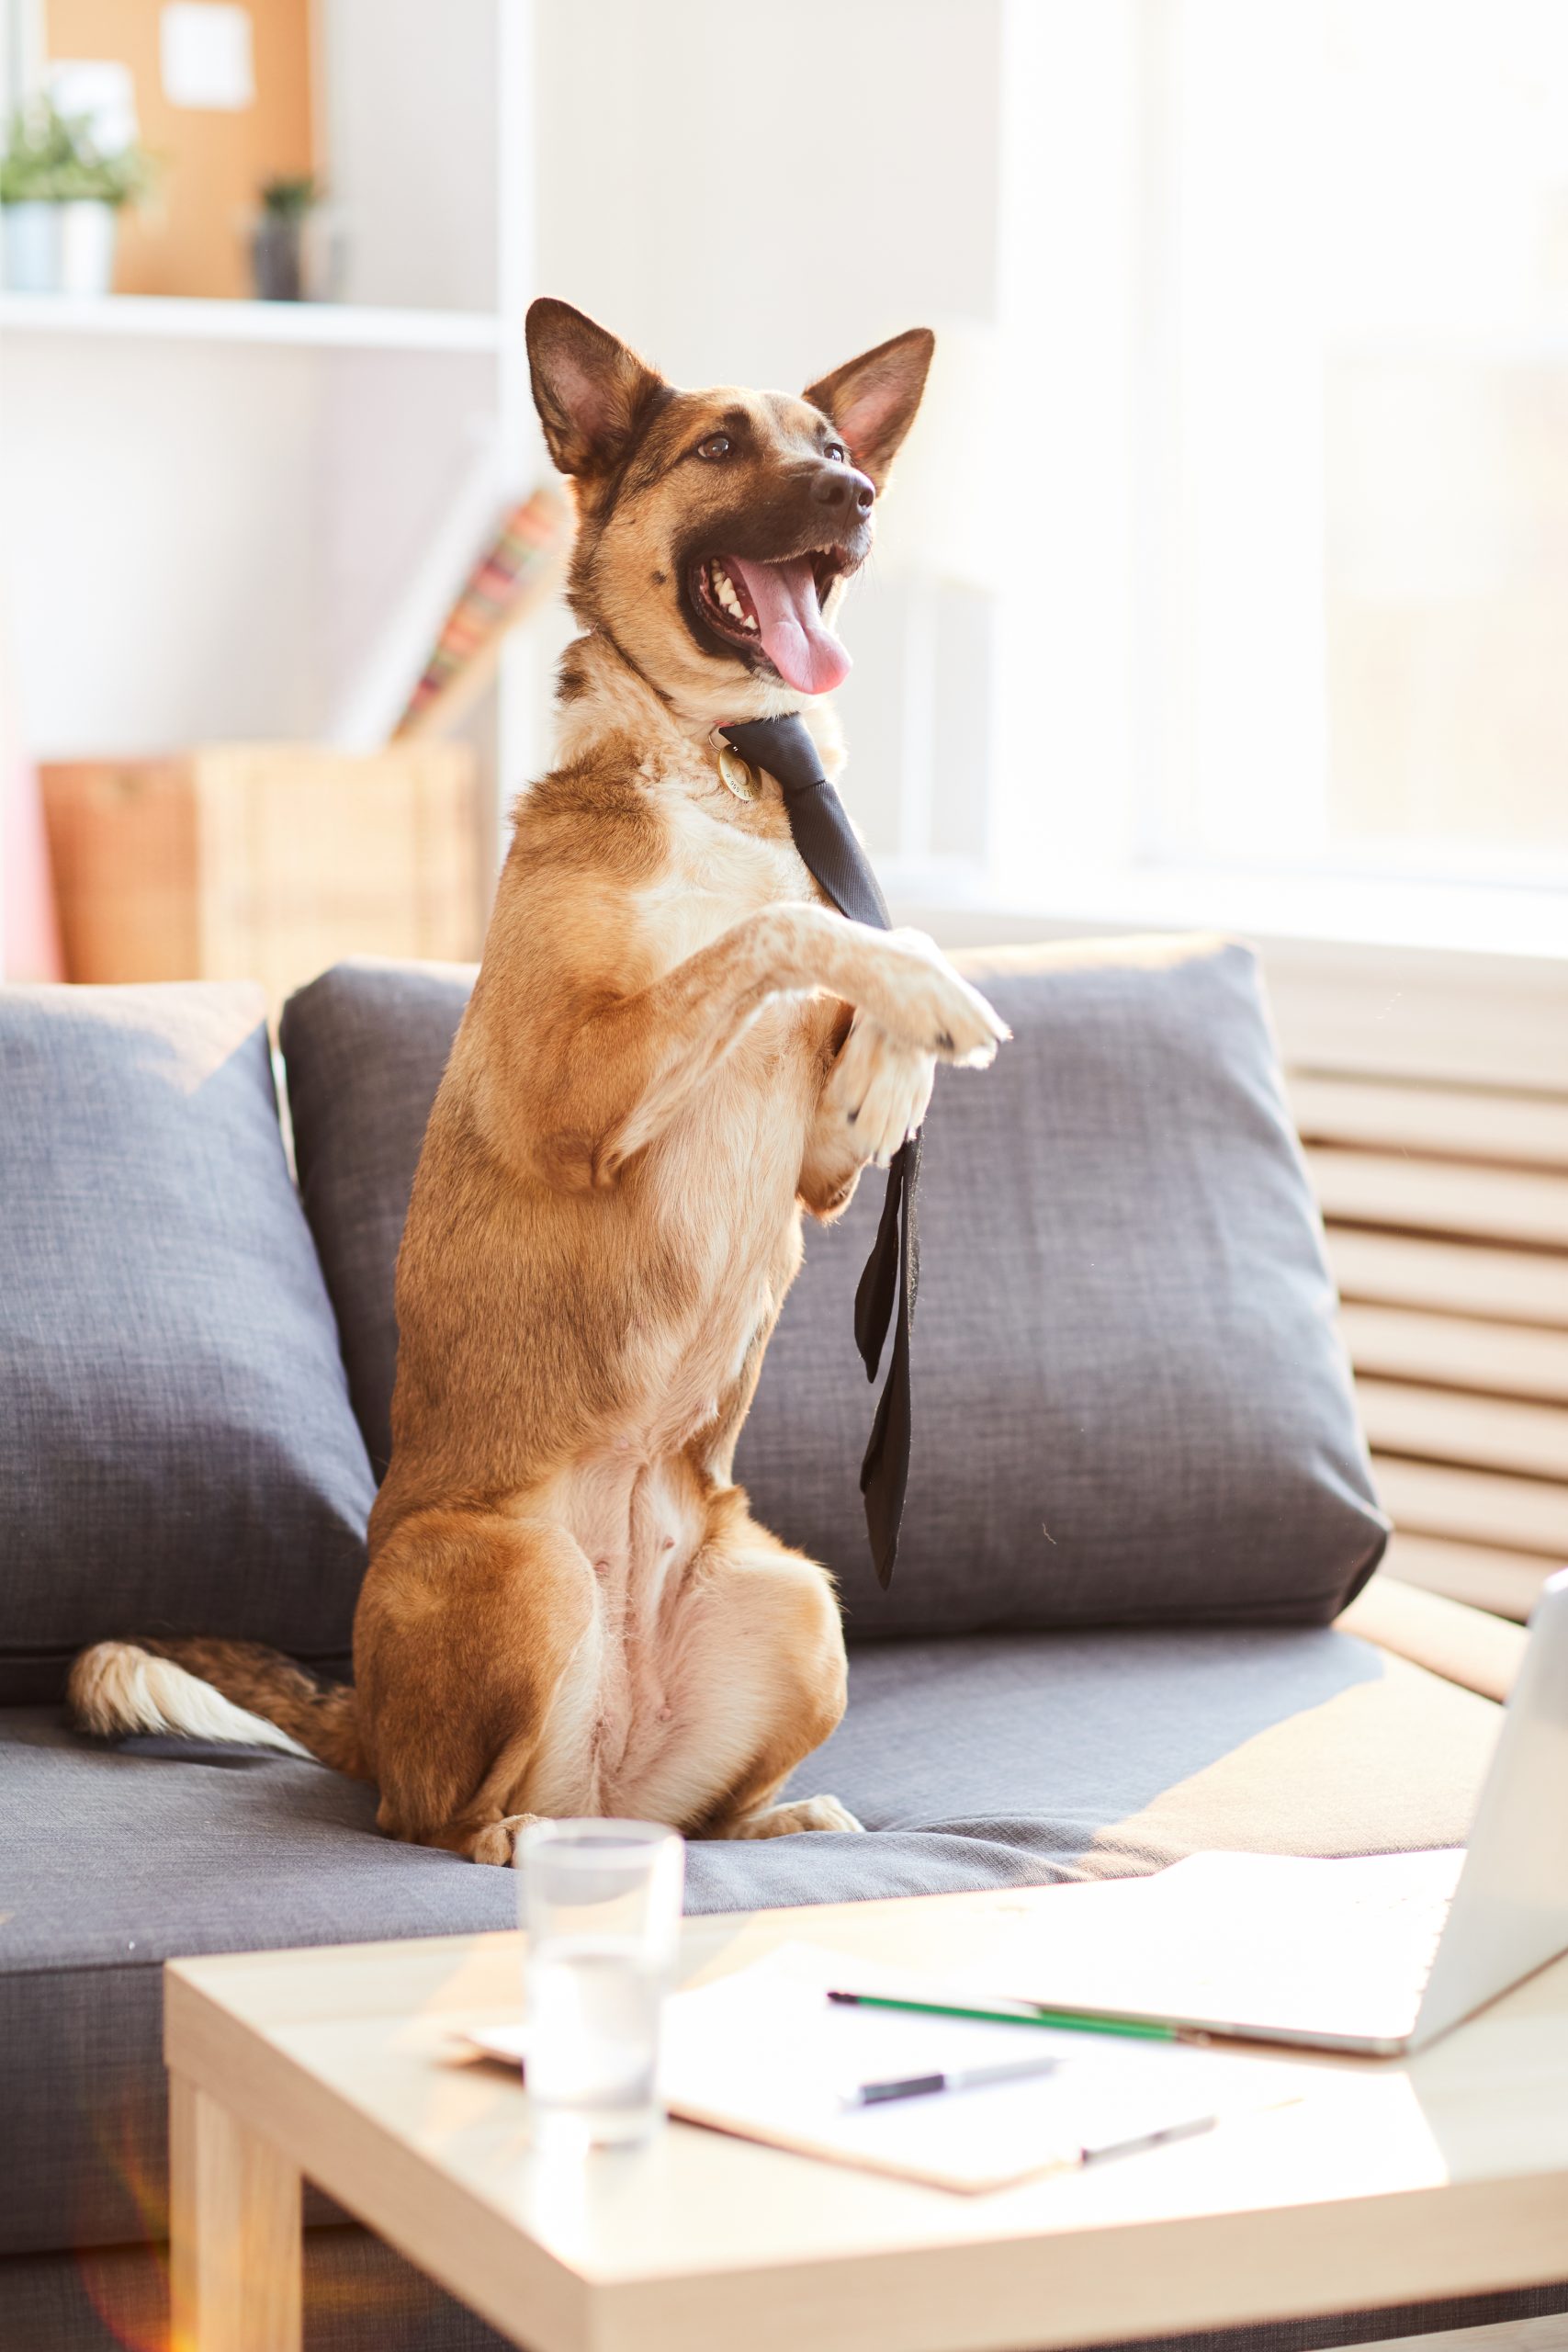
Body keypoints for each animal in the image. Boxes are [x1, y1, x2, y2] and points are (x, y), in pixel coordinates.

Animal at [70, 303, 1006, 1862]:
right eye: (717, 448)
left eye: (827, 442)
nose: (856, 495)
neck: (728, 762)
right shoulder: (582, 1083)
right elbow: (780, 931)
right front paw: (918, 997)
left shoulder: (812, 1177)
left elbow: (844, 942)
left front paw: (895, 1059)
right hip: (514, 1570)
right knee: (438, 1817)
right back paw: (509, 1839)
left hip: (795, 1601)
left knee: (687, 1824)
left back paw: (777, 1824)